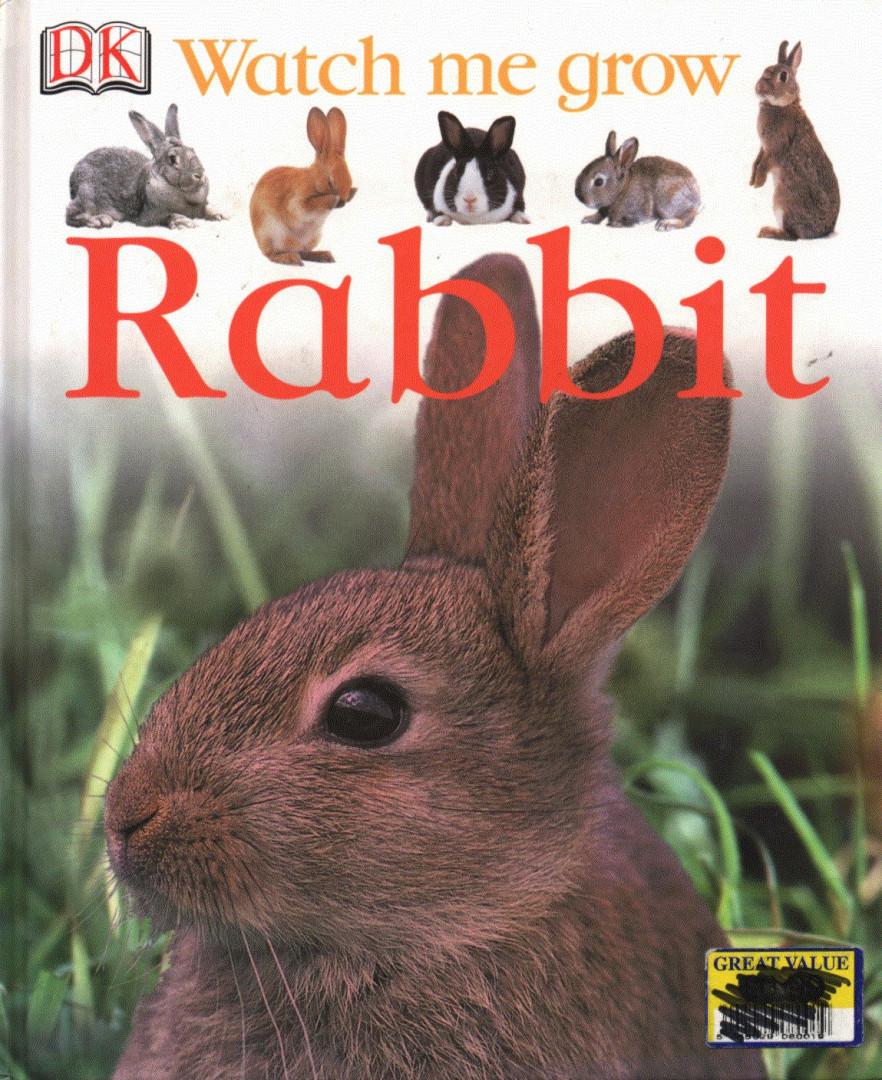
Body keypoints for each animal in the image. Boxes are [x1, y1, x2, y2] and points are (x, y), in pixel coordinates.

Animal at [66, 104, 224, 229]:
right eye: (172, 159)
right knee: (70, 214)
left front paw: (221, 215)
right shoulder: (151, 215)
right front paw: (184, 223)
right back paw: (100, 220)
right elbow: (169, 215)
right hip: (88, 194)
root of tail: (74, 174)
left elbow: (209, 208)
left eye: (192, 150)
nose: (199, 174)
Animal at [250, 106, 355, 265]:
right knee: (272, 255)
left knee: (304, 252)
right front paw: (333, 198)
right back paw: (290, 258)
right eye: (330, 182)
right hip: (272, 234)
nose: (342, 202)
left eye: (350, 181)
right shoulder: (296, 202)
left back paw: (324, 256)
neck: (313, 180)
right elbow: (307, 206)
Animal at [750, 41, 839, 240]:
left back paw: (767, 232)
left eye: (783, 76)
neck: (782, 105)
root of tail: (823, 231)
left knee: (792, 236)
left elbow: (764, 164)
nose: (759, 88)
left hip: (783, 204)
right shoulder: (763, 147)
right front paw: (751, 181)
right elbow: (757, 161)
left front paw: (758, 183)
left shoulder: (775, 147)